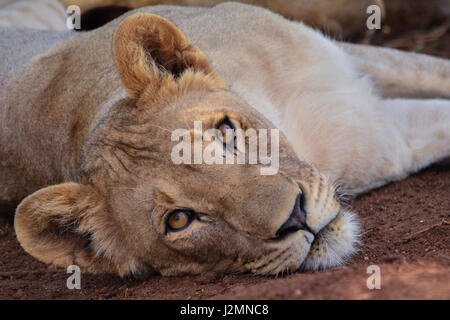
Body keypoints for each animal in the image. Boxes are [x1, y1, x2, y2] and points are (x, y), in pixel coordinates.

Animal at [0, 2, 448, 276]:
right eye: (179, 220)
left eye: (226, 131)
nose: (295, 217)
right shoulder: (389, 138)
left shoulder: (353, 59)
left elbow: (435, 70)